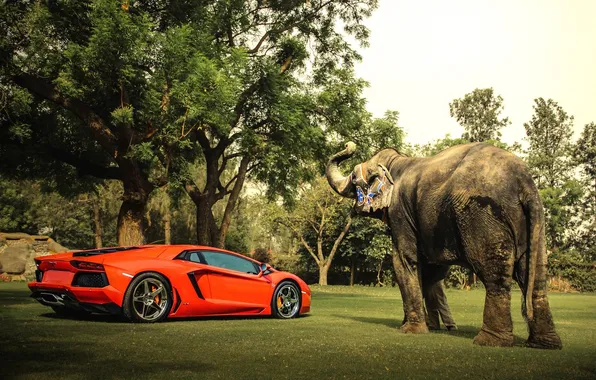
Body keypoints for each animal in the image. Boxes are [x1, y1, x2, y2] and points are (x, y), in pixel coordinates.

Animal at [326, 141, 564, 348]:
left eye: (354, 177)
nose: (349, 145)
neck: (396, 163)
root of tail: (525, 183)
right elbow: (431, 271)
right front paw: (422, 325)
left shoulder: (400, 212)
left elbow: (404, 261)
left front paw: (409, 330)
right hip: (534, 222)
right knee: (534, 275)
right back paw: (544, 344)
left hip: (482, 217)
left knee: (495, 275)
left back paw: (490, 341)